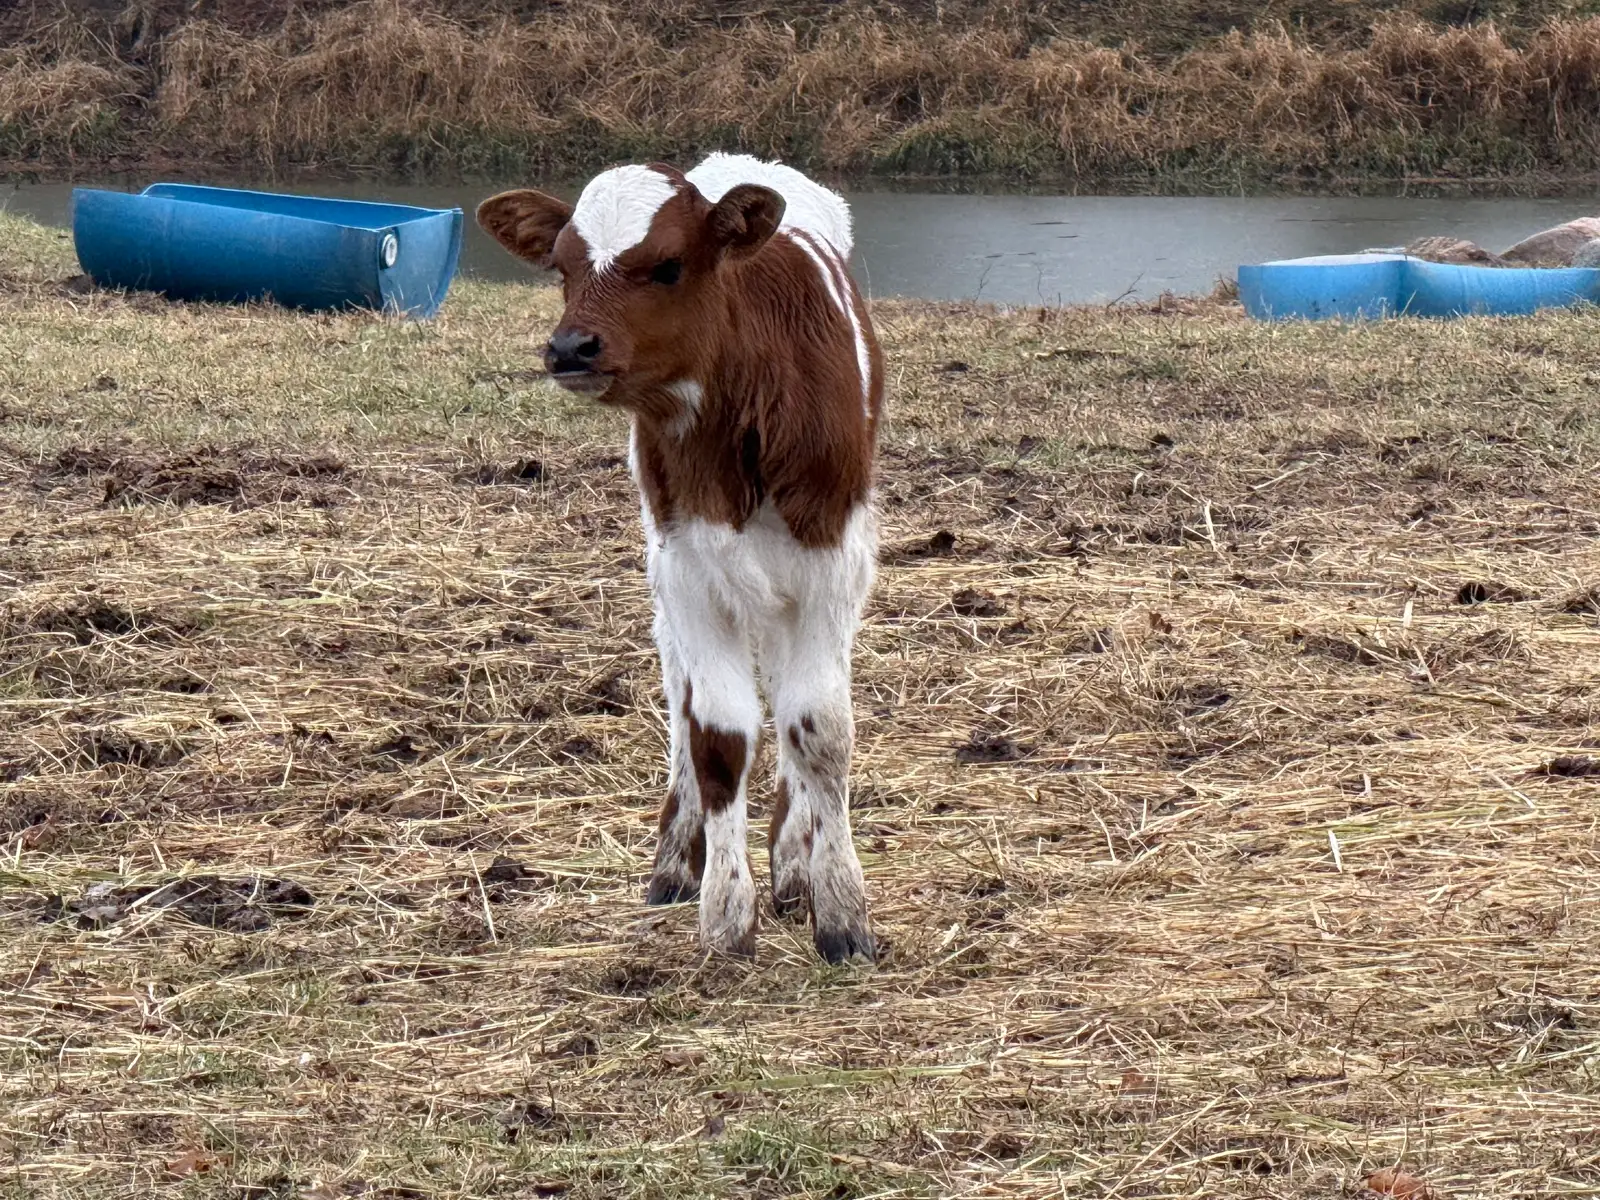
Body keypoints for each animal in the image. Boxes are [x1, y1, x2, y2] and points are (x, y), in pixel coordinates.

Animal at [477, 154, 883, 963]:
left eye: (667, 266)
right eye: (563, 267)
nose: (569, 348)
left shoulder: (830, 562)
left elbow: (818, 729)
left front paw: (840, 908)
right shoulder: (689, 569)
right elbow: (715, 735)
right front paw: (725, 912)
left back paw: (792, 863)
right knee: (683, 696)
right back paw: (679, 859)